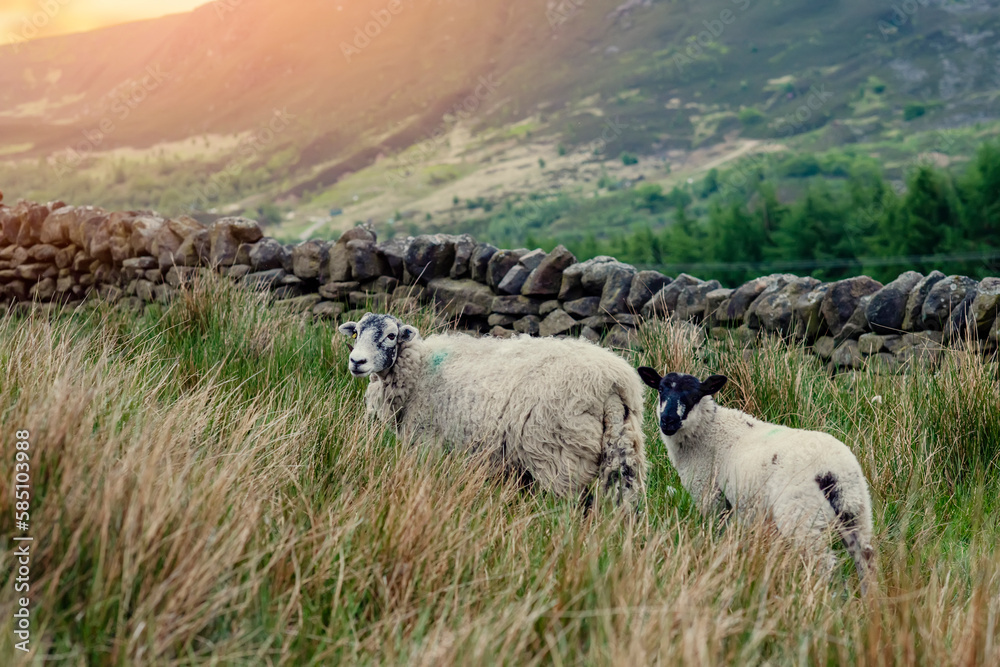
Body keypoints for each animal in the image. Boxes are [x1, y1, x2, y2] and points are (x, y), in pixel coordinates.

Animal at [338, 312, 647, 509]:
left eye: (391, 336)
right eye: (356, 332)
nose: (357, 361)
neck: (420, 369)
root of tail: (613, 380)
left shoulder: (426, 444)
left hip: (559, 457)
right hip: (623, 448)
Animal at [636, 367, 875, 591]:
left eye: (695, 395)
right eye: (661, 390)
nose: (668, 420)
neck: (708, 432)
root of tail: (835, 471)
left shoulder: (710, 495)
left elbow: (715, 534)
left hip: (802, 515)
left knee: (824, 564)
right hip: (856, 511)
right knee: (865, 559)